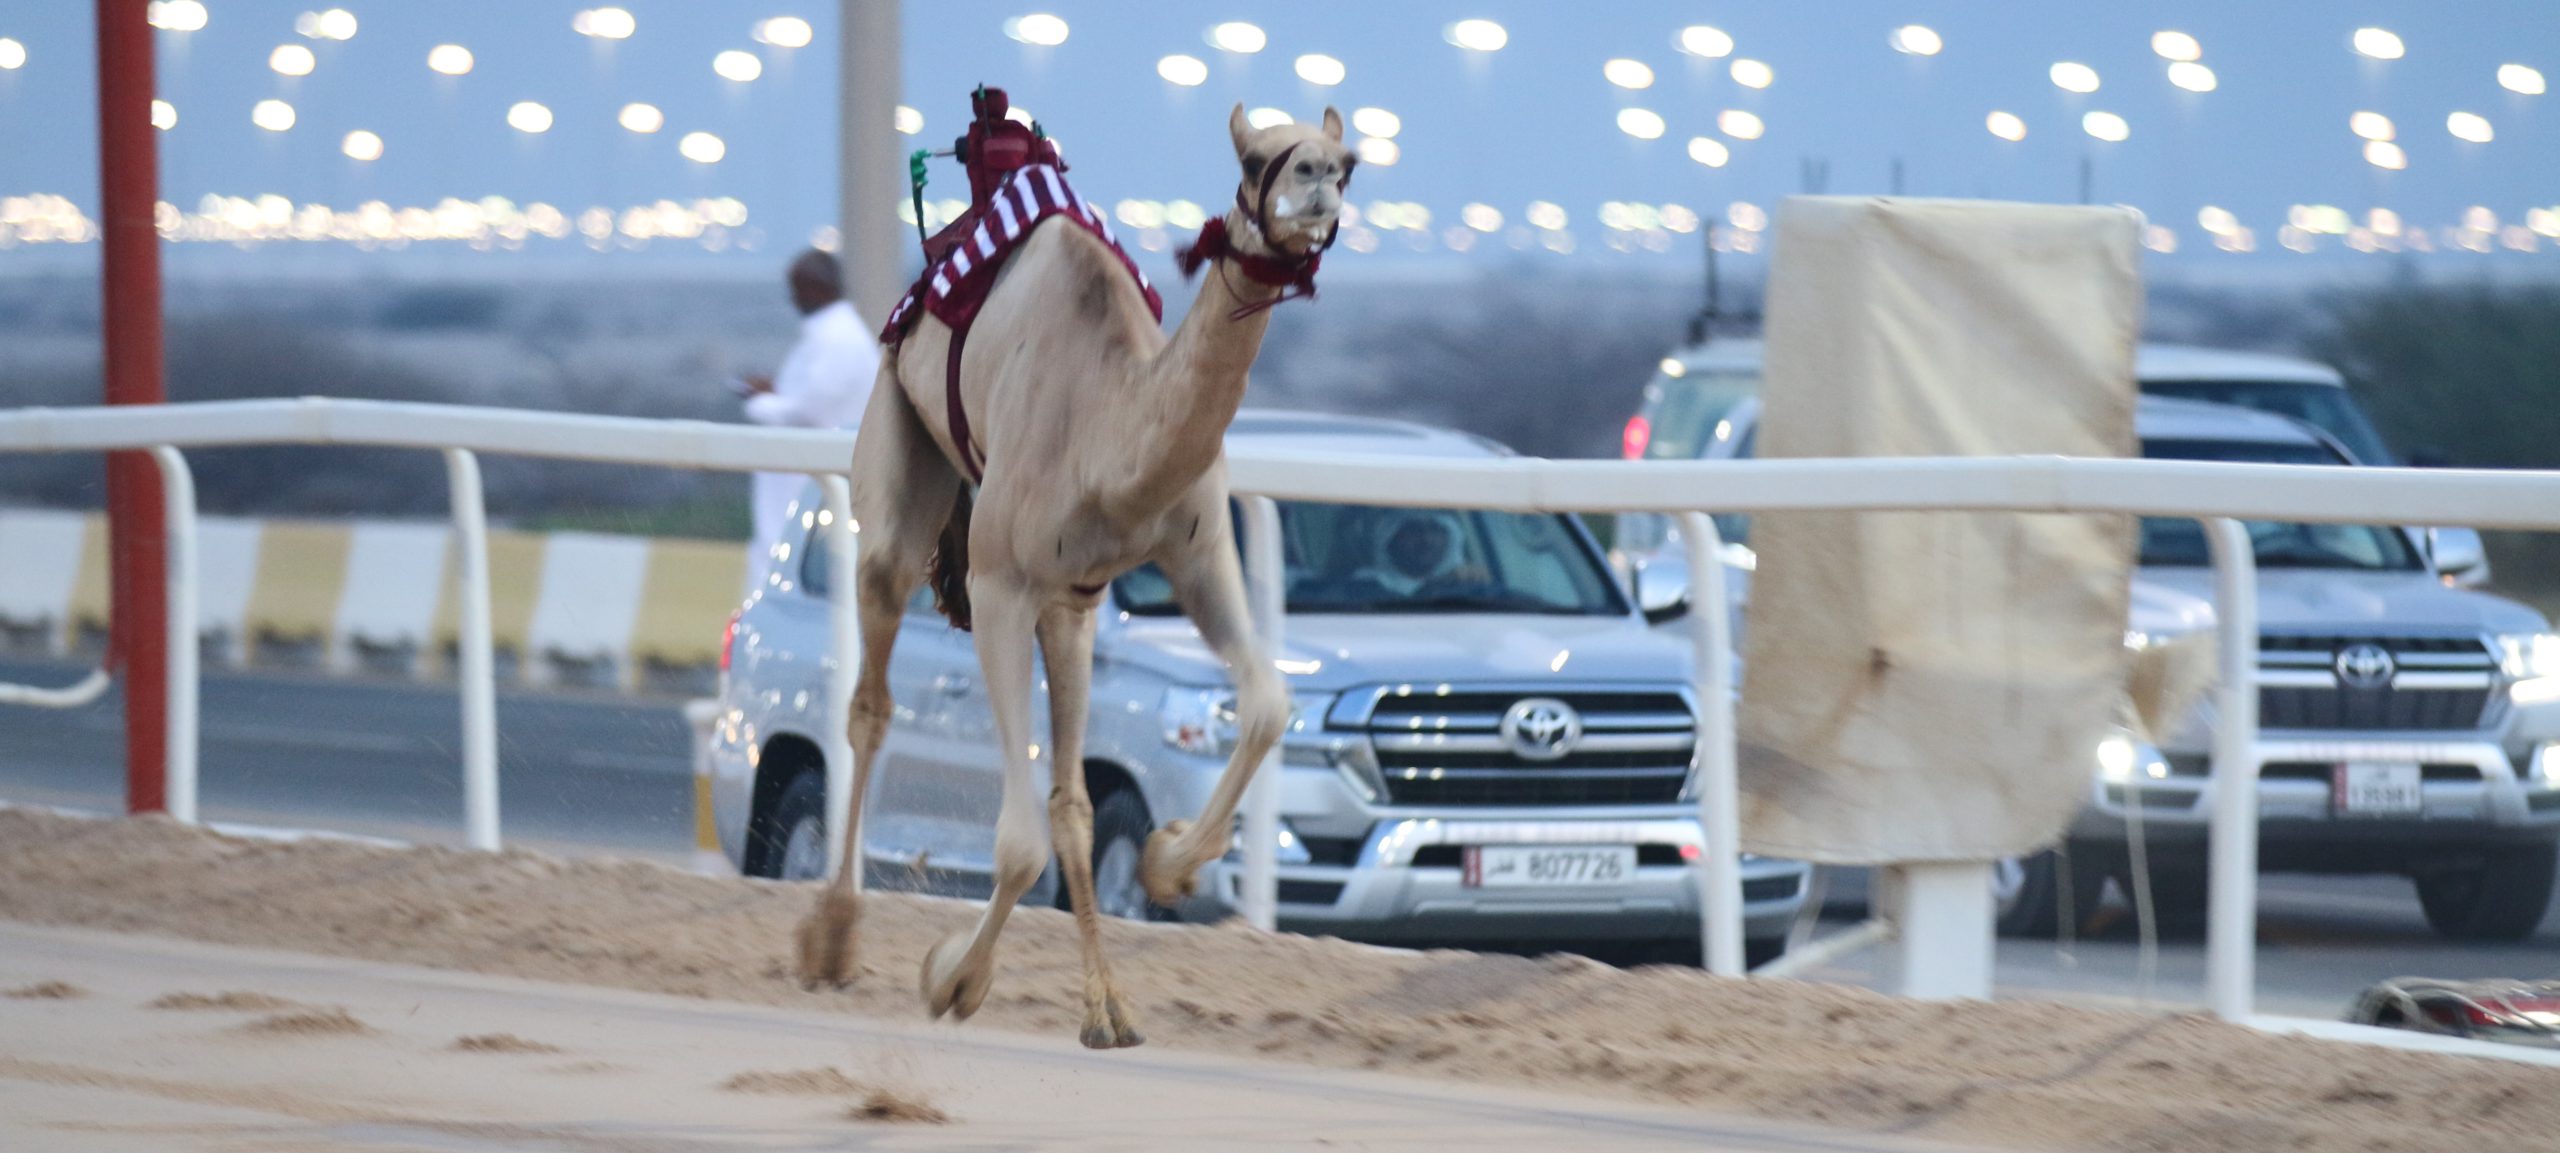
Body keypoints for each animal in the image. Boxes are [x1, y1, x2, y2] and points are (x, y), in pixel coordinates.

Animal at [798, 96, 1361, 1055]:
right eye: (1255, 161)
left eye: (1347, 161)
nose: (1316, 179)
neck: (1108, 428)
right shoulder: (998, 585)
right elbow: (1016, 844)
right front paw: (951, 978)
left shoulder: (1195, 553)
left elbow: (1265, 704)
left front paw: (1169, 862)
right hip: (897, 455)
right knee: (870, 695)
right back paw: (830, 938)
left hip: (1074, 605)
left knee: (1072, 796)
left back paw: (1108, 1007)